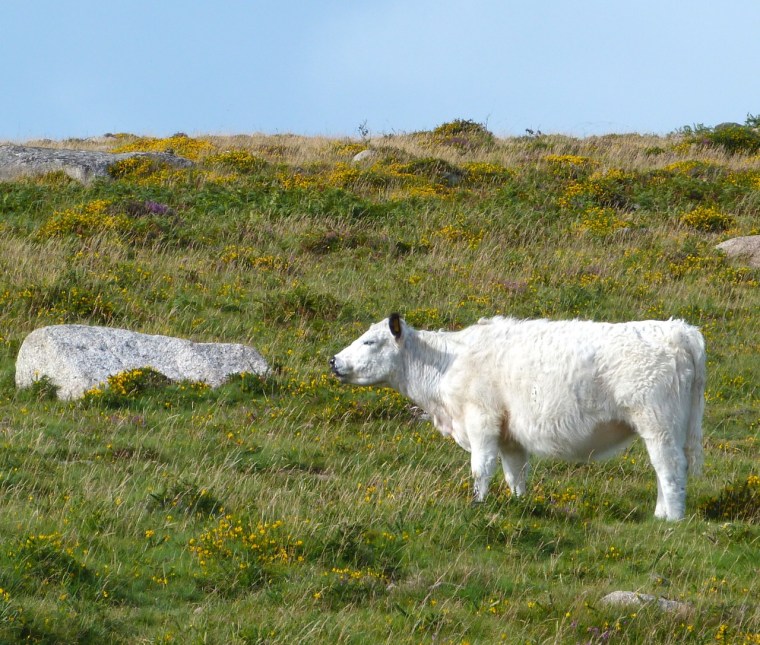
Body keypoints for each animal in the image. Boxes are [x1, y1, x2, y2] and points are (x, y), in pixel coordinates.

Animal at [329, 314, 706, 520]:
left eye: (370, 341)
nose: (333, 360)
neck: (448, 362)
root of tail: (679, 330)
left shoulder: (481, 420)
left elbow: (481, 469)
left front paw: (477, 504)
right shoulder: (510, 435)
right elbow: (515, 474)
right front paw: (519, 506)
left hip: (657, 422)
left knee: (670, 468)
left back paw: (670, 520)